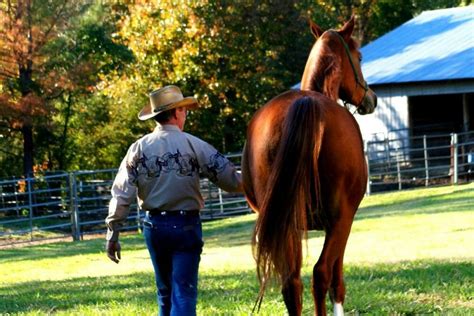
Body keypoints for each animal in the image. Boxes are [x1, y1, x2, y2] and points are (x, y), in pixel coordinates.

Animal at [243, 17, 376, 316]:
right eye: (359, 56)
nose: (371, 98)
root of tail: (305, 103)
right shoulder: (343, 221)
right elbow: (337, 282)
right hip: (339, 219)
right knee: (321, 273)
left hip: (286, 225)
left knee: (292, 283)